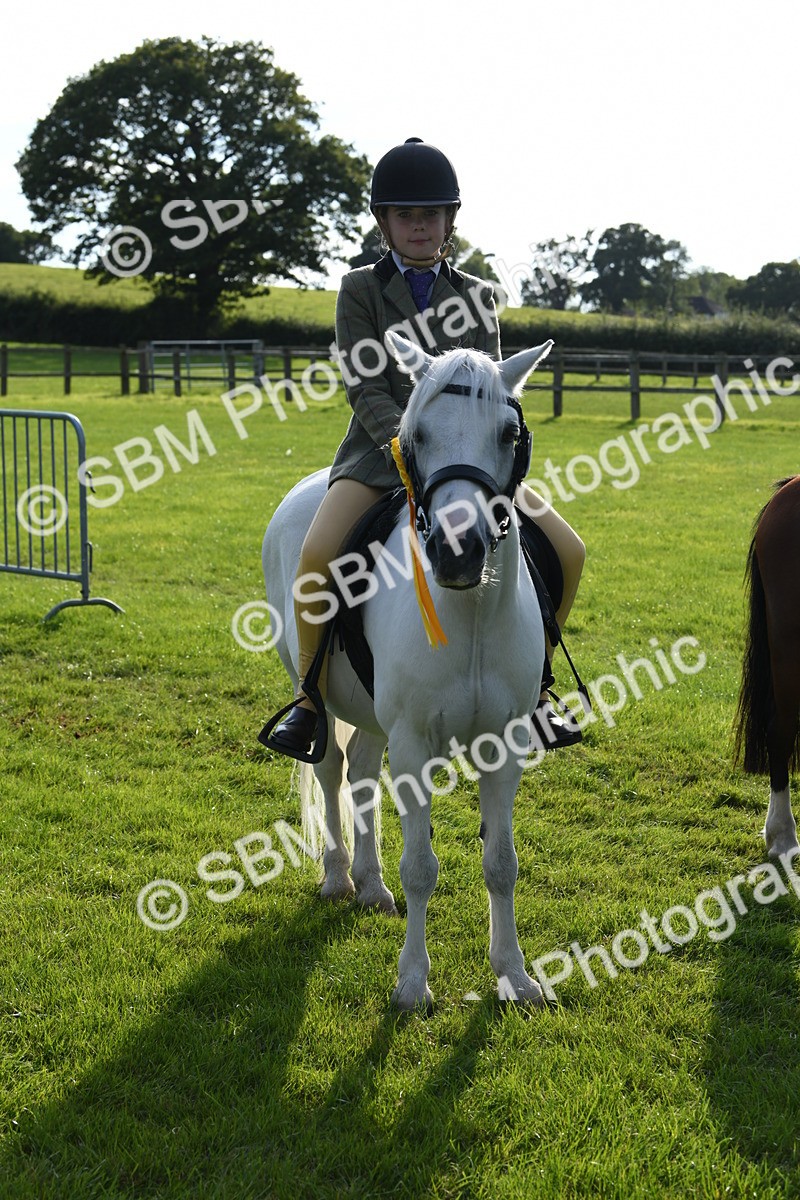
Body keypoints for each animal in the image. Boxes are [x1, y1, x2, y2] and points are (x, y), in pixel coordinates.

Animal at [261, 331, 554, 1011]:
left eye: (509, 432)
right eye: (414, 435)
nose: (458, 551)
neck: (470, 615)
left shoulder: (505, 744)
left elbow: (502, 864)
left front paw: (515, 975)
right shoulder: (416, 744)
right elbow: (421, 867)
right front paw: (413, 984)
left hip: (373, 716)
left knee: (363, 772)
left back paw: (370, 886)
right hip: (319, 697)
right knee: (331, 771)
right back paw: (340, 879)